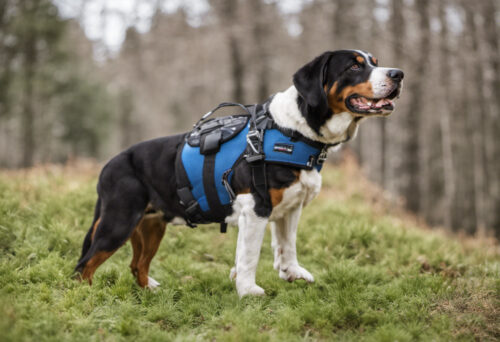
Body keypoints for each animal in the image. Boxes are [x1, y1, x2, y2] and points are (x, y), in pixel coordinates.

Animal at [75, 50, 402, 296]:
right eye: (354, 66)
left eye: (374, 61)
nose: (398, 74)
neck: (294, 132)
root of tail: (111, 164)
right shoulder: (255, 208)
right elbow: (249, 256)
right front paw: (248, 291)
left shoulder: (289, 208)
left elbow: (287, 244)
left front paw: (291, 272)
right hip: (118, 222)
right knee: (84, 267)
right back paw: (87, 297)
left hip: (151, 225)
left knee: (137, 265)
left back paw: (151, 290)